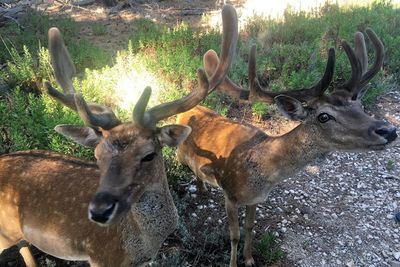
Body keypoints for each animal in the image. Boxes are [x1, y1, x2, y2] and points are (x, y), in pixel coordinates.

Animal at [177, 28, 398, 266]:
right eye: (324, 116)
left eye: (360, 105)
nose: (389, 130)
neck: (262, 174)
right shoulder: (230, 194)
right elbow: (234, 235)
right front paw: (234, 262)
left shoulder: (255, 199)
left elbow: (250, 226)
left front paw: (250, 259)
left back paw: (202, 188)